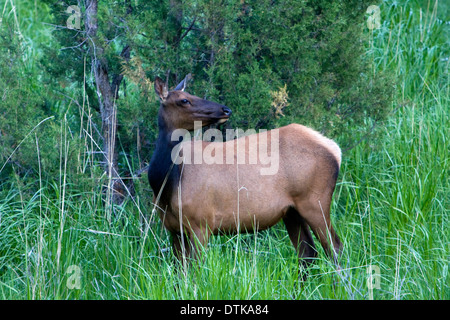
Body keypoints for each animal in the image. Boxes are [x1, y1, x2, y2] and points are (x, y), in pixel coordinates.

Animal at [149, 75, 342, 276]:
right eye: (184, 100)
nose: (225, 109)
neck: (167, 184)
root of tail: (335, 149)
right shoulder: (174, 230)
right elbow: (180, 273)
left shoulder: (201, 223)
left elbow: (196, 272)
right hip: (292, 211)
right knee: (308, 253)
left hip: (315, 202)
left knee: (334, 247)